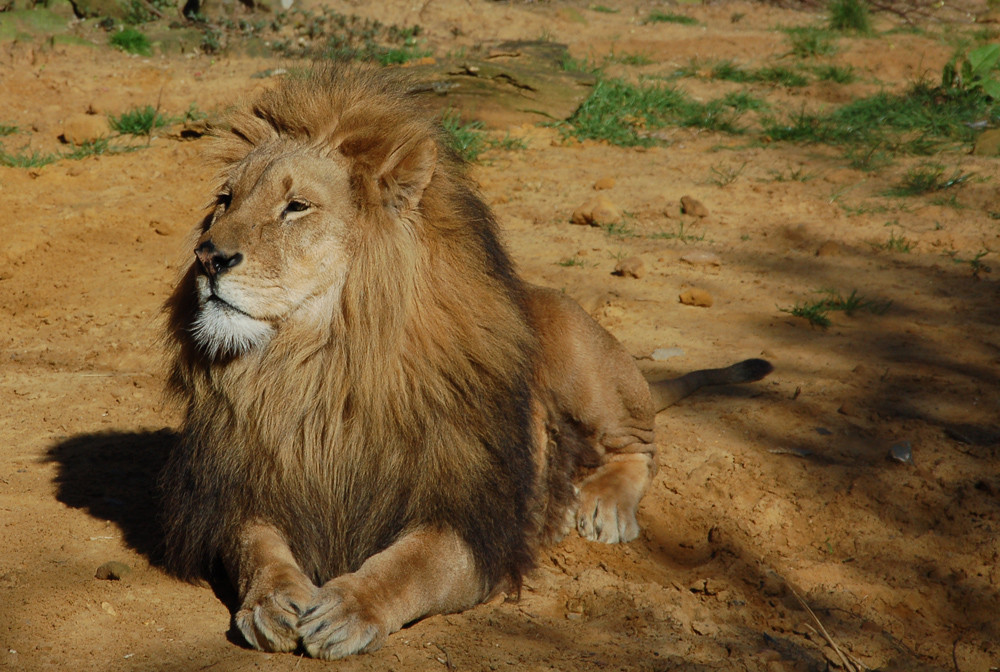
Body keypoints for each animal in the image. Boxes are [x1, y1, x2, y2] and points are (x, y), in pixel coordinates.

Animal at [162, 64, 772, 660]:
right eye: (225, 201)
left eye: (296, 207)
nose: (207, 257)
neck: (322, 370)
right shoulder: (242, 495)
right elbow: (257, 549)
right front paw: (272, 602)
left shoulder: (477, 524)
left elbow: (412, 566)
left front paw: (349, 609)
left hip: (580, 354)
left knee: (640, 446)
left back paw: (603, 506)